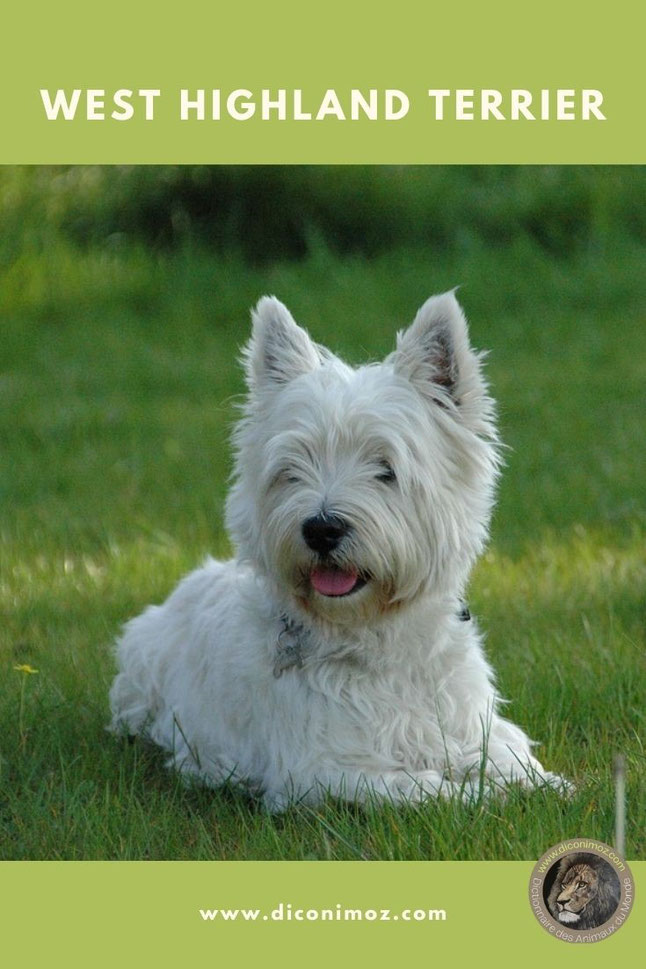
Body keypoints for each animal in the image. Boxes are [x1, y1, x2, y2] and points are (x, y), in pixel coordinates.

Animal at [110, 294, 568, 808]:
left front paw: (545, 784)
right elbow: (418, 787)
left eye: (386, 468)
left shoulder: (473, 725)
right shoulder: (322, 770)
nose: (322, 529)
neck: (376, 641)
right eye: (292, 469)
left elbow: (510, 756)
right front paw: (478, 795)